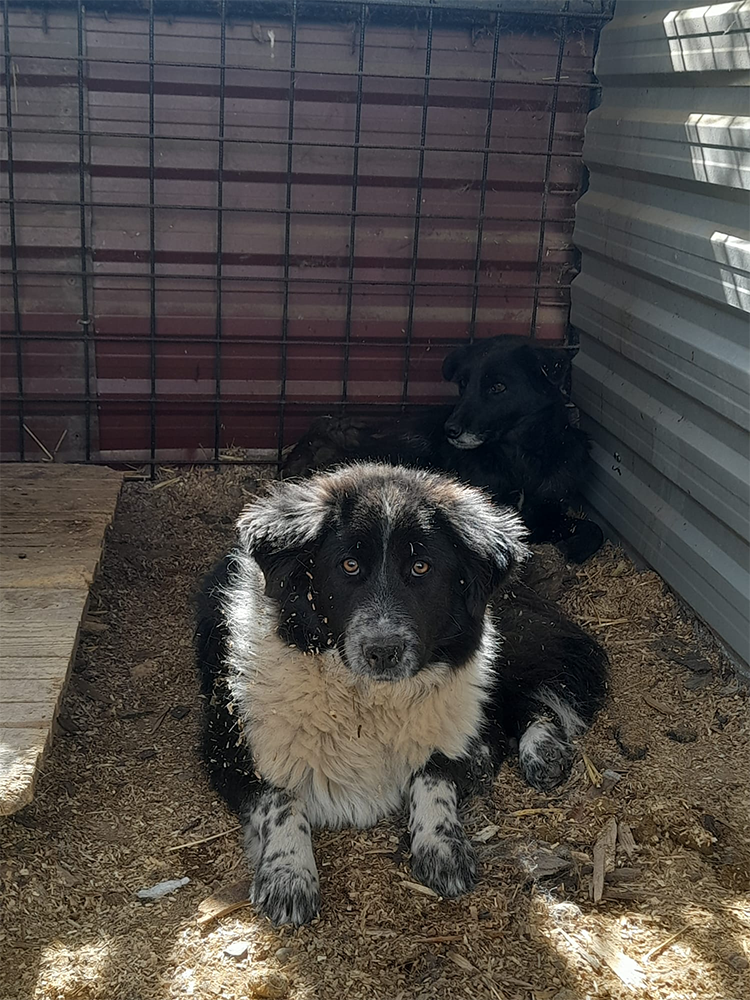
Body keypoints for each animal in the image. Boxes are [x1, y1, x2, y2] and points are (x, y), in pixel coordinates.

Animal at [195, 463, 608, 926]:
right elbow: (281, 801)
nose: (382, 650)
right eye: (349, 565)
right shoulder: (230, 749)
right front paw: (289, 874)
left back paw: (540, 750)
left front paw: (442, 844)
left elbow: (434, 775)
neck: (367, 701)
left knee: (520, 698)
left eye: (421, 567)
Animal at [282, 336, 604, 563]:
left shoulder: (548, 507)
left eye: (497, 387)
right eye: (463, 384)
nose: (450, 429)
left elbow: (594, 529)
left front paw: (574, 548)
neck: (519, 459)